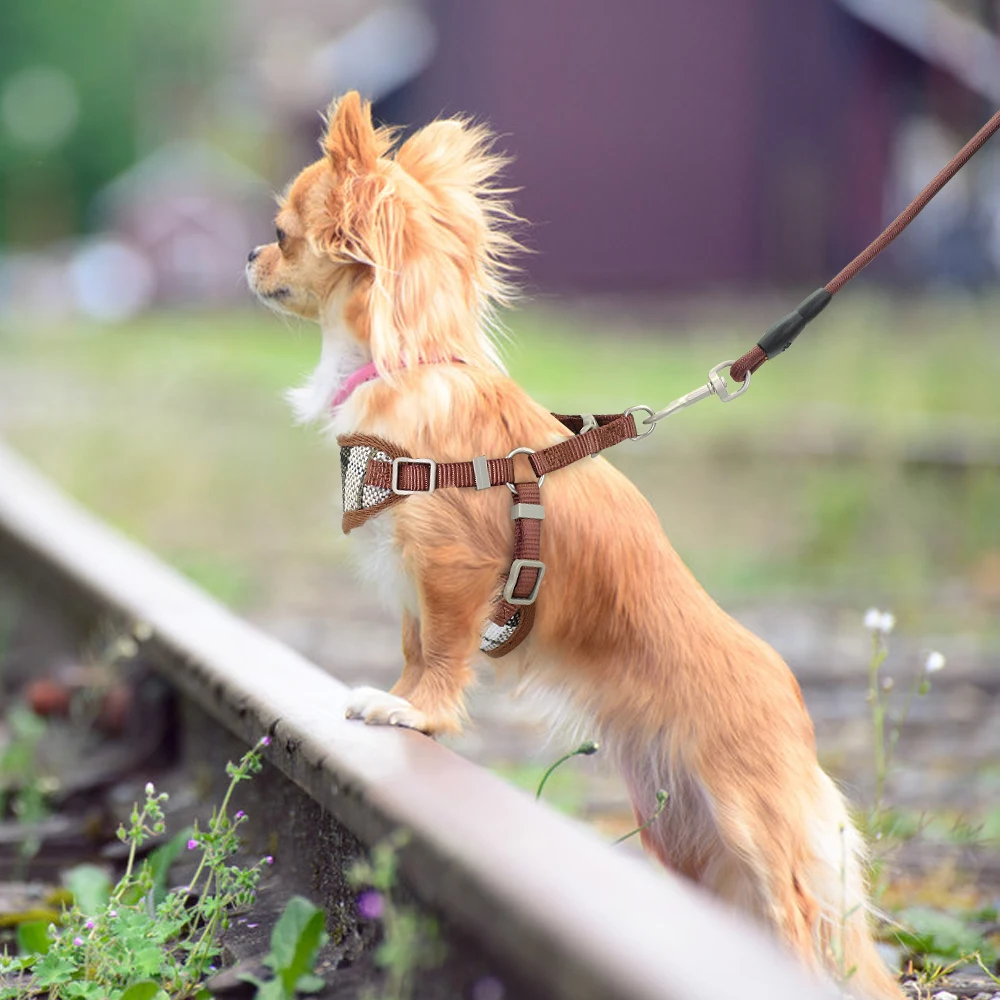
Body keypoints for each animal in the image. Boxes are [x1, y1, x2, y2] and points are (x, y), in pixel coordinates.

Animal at [246, 94, 904, 1000]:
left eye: (281, 232)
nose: (246, 254)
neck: (404, 363)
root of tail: (795, 704)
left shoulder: (451, 570)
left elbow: (442, 655)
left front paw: (416, 713)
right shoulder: (414, 580)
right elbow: (414, 648)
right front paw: (392, 697)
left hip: (752, 832)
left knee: (805, 927)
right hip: (685, 835)